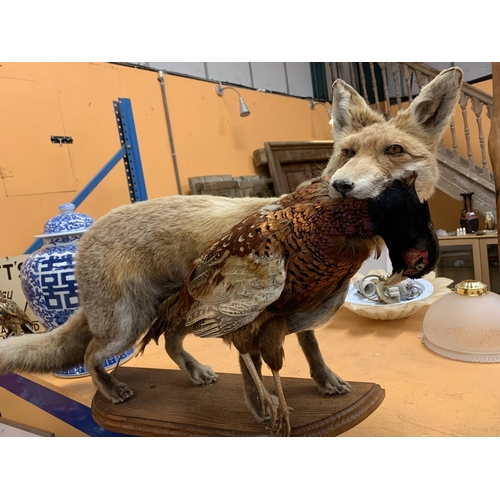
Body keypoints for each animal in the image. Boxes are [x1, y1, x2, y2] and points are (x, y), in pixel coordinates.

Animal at [0, 68, 460, 416]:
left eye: (394, 150)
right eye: (347, 152)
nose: (341, 186)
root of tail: (87, 233)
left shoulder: (300, 304)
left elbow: (311, 348)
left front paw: (324, 380)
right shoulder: (261, 308)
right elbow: (266, 355)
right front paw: (266, 402)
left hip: (173, 310)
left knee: (169, 343)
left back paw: (195, 372)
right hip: (128, 324)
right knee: (93, 354)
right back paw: (112, 390)